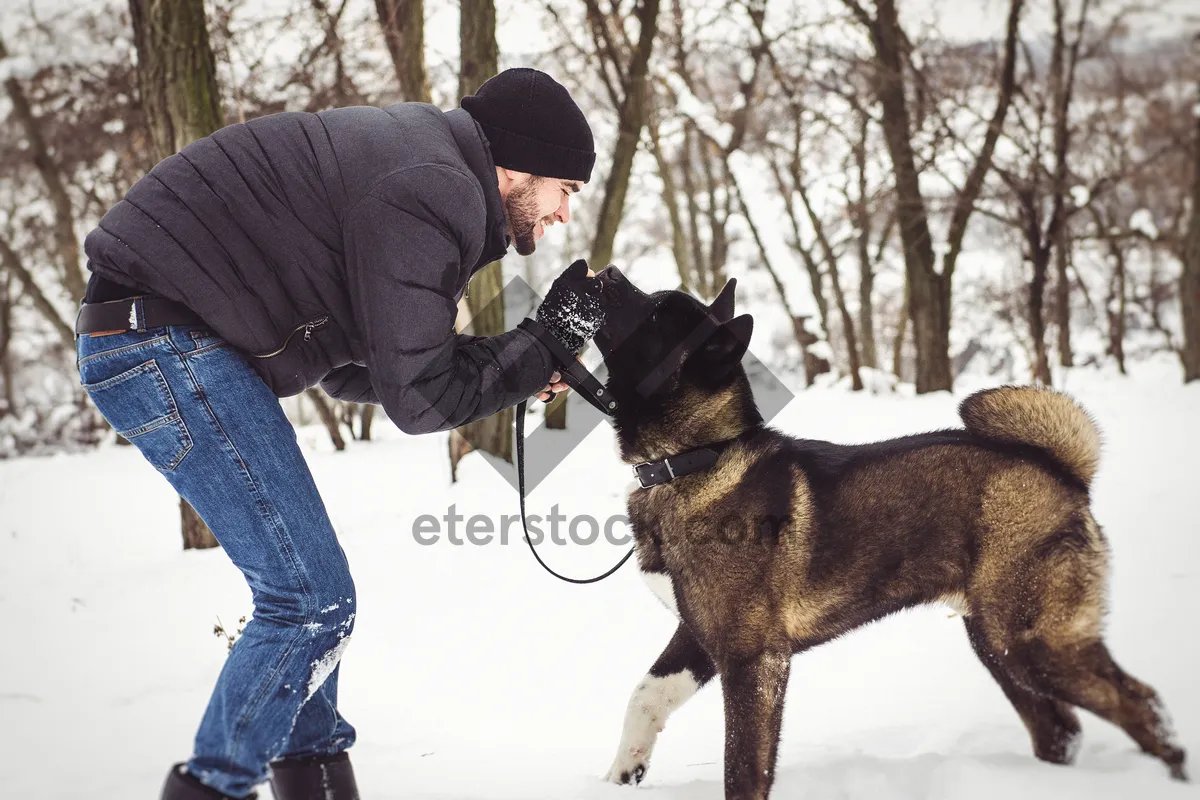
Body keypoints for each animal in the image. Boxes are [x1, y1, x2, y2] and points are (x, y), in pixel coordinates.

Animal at [588, 268, 1180, 800]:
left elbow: (744, 768)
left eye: (657, 315)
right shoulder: (697, 636)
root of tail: (1061, 470)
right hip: (998, 644)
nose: (607, 273)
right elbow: (645, 697)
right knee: (1061, 731)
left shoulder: (752, 658)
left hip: (1037, 642)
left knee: (1143, 705)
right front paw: (622, 773)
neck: (694, 460)